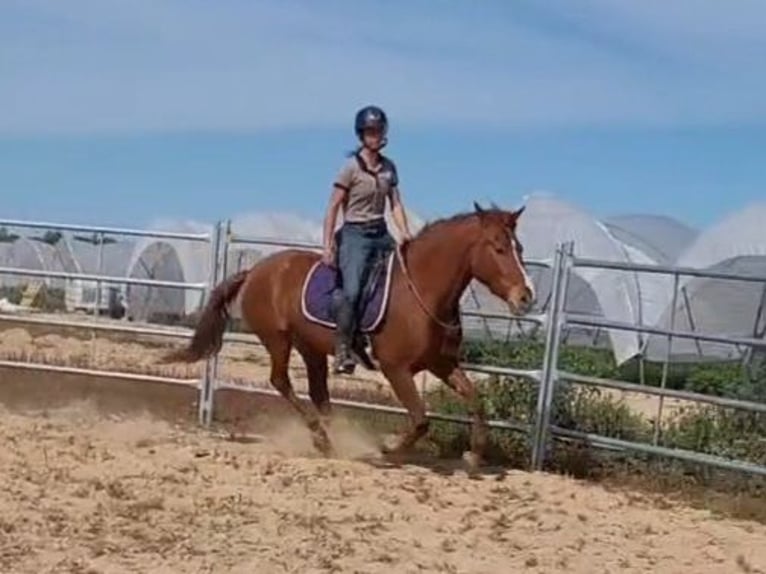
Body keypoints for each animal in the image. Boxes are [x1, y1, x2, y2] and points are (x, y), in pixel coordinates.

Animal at [160, 201, 535, 473]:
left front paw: (474, 456)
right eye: (498, 248)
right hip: (278, 340)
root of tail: (256, 271)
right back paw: (323, 439)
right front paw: (387, 449)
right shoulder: (396, 369)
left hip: (310, 347)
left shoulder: (442, 364)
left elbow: (475, 401)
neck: (422, 291)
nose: (526, 297)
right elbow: (420, 420)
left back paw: (332, 438)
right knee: (281, 381)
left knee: (318, 392)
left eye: (519, 247)